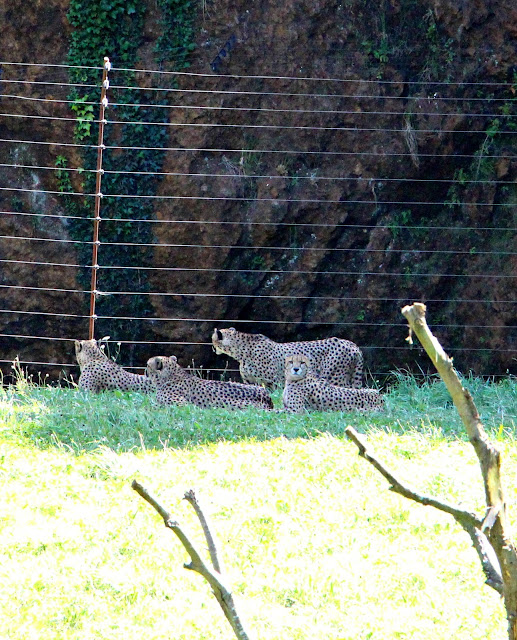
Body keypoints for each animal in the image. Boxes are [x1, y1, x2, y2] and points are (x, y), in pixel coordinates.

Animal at [211, 328, 362, 388]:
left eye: (213, 340)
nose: (212, 348)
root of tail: (353, 344)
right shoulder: (251, 382)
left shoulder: (275, 381)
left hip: (336, 377)